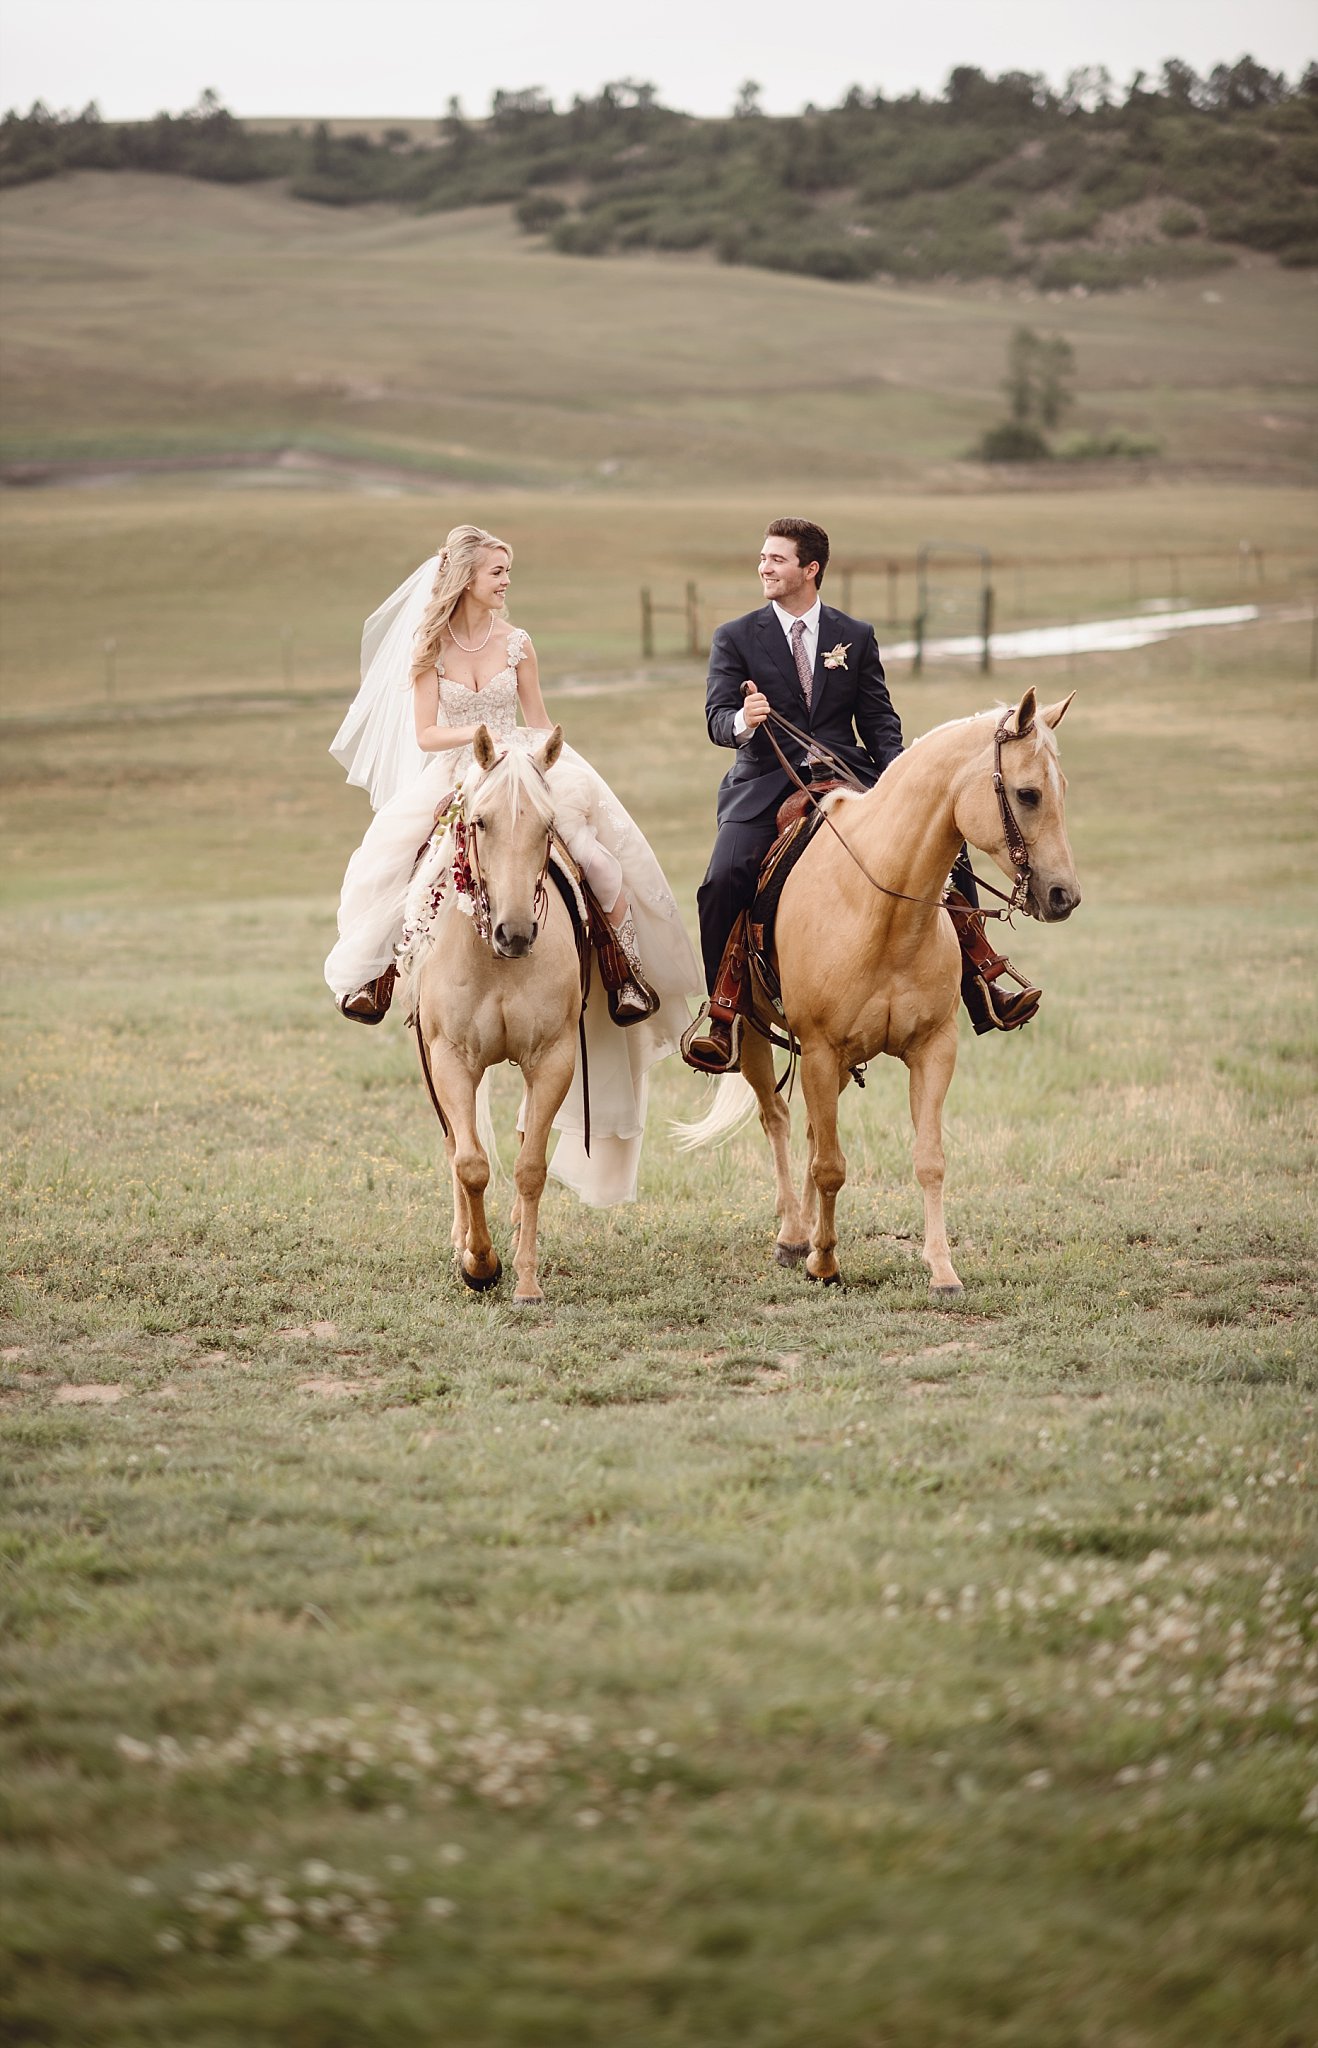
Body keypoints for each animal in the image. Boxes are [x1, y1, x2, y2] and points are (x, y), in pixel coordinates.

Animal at [400, 725, 580, 1305]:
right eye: (480, 821)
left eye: (548, 825)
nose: (515, 933)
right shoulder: (450, 1059)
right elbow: (471, 1164)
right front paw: (478, 1264)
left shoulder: (553, 1059)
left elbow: (530, 1168)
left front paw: (524, 1279)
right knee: (455, 1144)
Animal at [676, 686, 1080, 1295]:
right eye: (1028, 794)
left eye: (1060, 789)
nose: (1064, 896)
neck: (882, 909)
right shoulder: (820, 1050)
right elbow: (829, 1165)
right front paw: (823, 1263)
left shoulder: (933, 1049)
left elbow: (928, 1159)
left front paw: (942, 1270)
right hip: (753, 1034)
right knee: (778, 1119)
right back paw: (793, 1235)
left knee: (812, 1129)